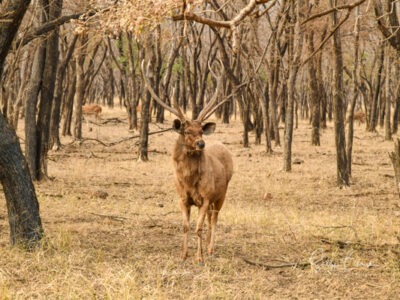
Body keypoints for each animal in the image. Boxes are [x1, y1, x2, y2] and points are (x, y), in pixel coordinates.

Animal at [141, 61, 233, 262]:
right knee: (210, 219)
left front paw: (199, 257)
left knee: (214, 219)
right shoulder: (182, 198)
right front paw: (183, 254)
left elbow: (198, 227)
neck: (189, 181)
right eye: (187, 131)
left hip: (222, 194)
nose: (201, 143)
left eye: (200, 130)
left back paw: (210, 248)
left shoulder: (206, 197)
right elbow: (185, 226)